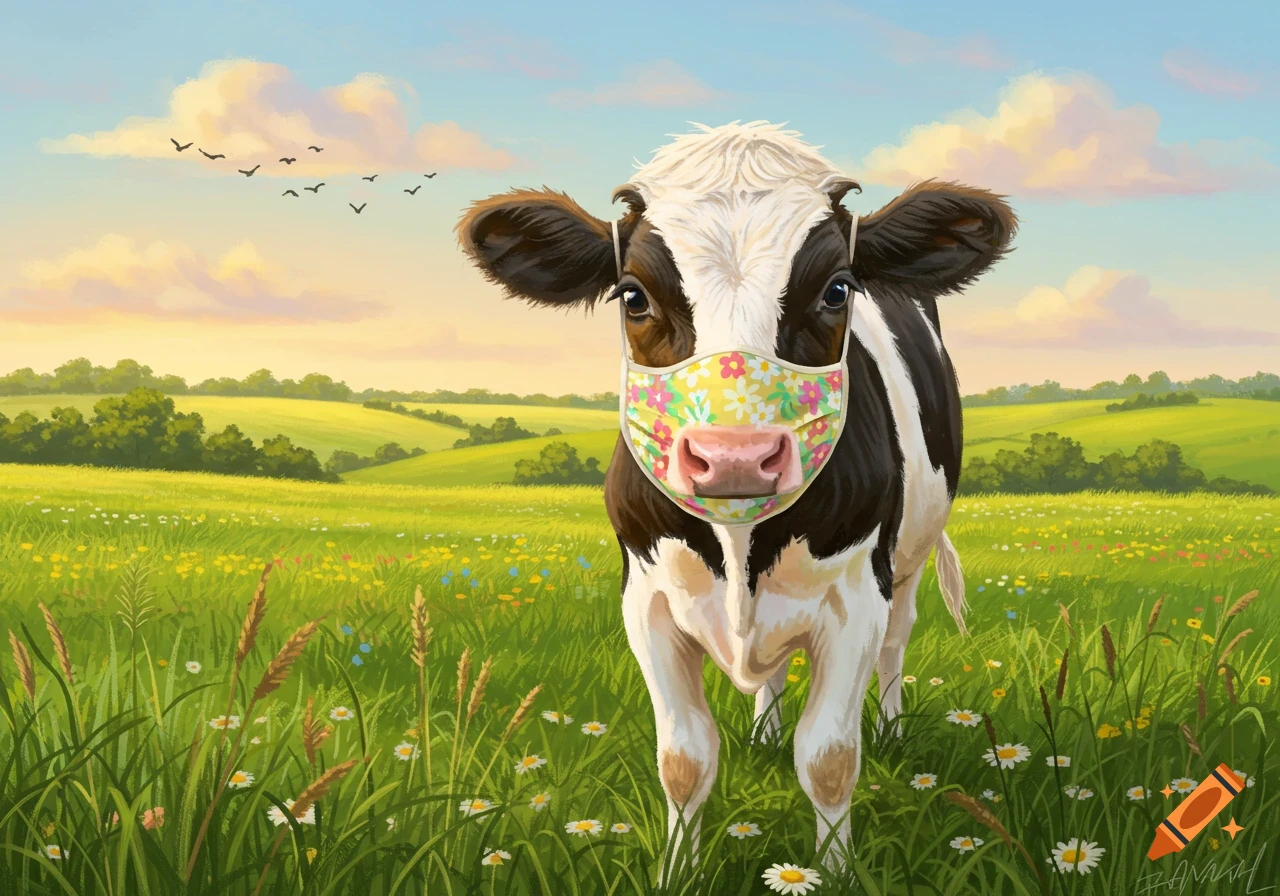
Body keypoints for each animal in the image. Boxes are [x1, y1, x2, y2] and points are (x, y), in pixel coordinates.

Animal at [456, 121, 1017, 871]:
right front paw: (678, 870)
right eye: (633, 295)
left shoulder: (856, 597)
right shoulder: (648, 599)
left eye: (837, 289)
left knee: (897, 645)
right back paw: (763, 734)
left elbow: (830, 759)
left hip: (909, 560)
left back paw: (893, 731)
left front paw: (832, 873)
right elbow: (684, 760)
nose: (734, 457)